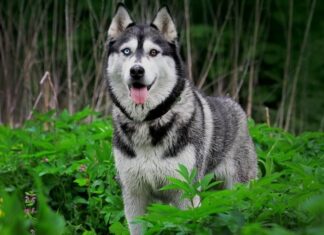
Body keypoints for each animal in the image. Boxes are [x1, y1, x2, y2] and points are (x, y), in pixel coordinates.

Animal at [105, 3, 256, 235]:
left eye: (153, 52)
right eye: (126, 51)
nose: (136, 70)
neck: (147, 121)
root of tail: (235, 105)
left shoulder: (186, 193)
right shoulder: (134, 195)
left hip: (239, 188)